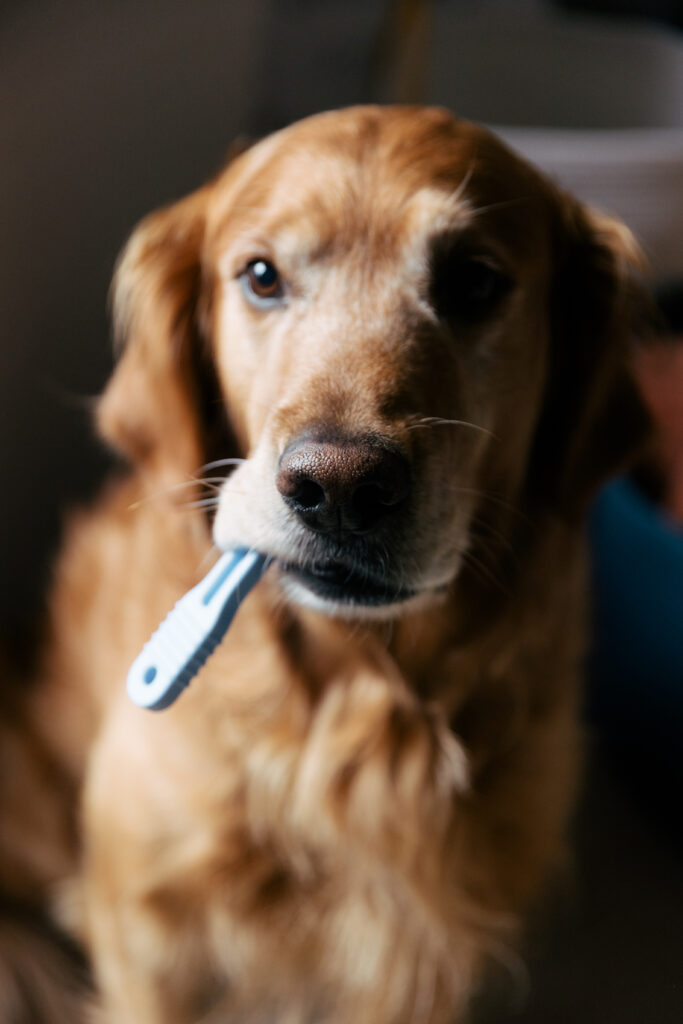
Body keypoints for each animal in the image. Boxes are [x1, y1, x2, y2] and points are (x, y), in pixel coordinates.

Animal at [1, 105, 651, 1024]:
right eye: (261, 276)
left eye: (475, 281)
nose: (338, 487)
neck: (353, 694)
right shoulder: (144, 929)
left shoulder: (421, 960)